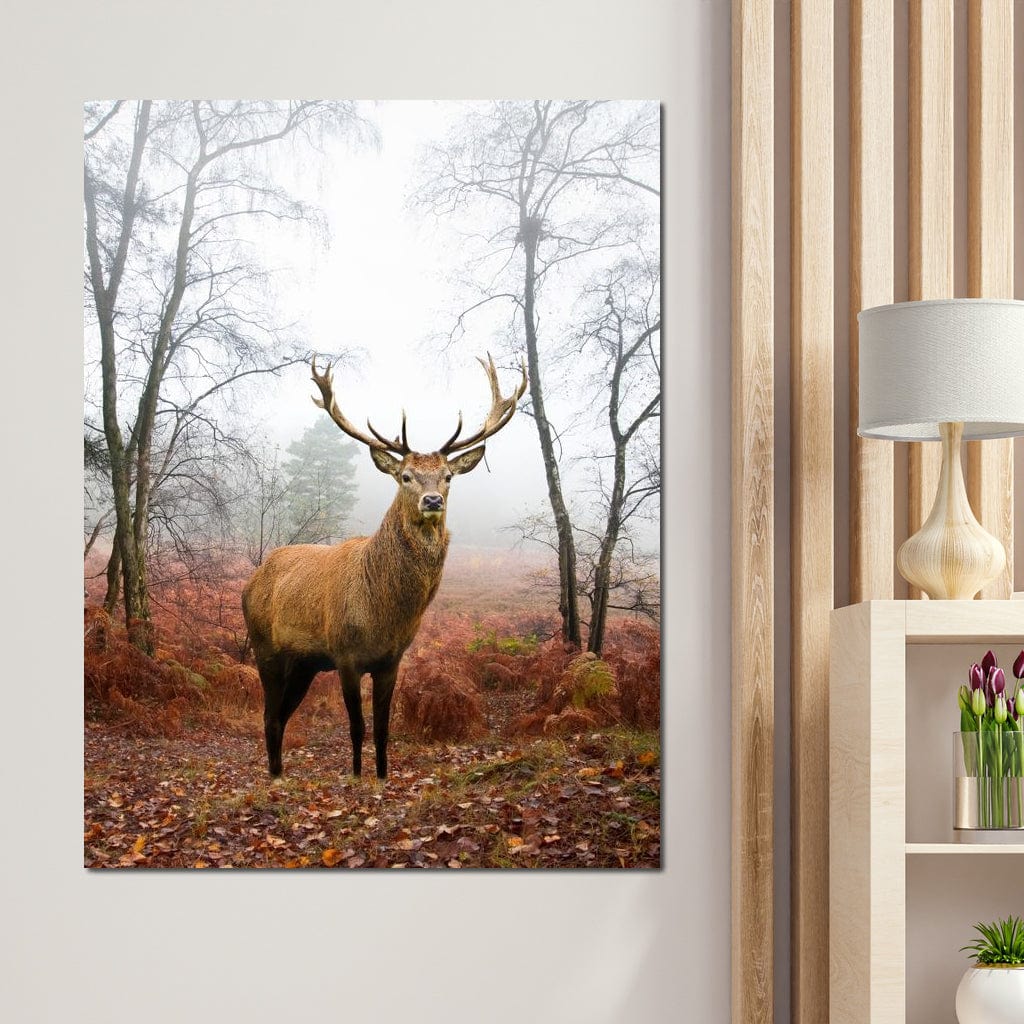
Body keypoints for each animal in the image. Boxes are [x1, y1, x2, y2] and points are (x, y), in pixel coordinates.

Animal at [241, 353, 527, 781]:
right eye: (405, 476)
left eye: (447, 477)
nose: (431, 501)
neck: (383, 612)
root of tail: (250, 581)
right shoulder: (345, 655)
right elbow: (357, 727)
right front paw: (357, 776)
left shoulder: (391, 660)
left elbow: (382, 728)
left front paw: (381, 775)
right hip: (265, 647)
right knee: (269, 715)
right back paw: (275, 777)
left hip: (304, 663)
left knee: (281, 714)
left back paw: (278, 773)